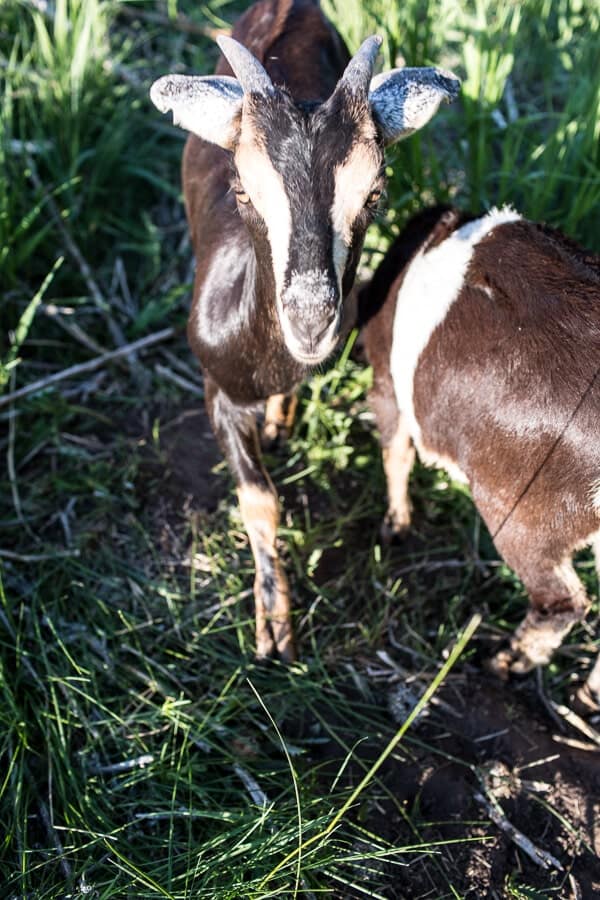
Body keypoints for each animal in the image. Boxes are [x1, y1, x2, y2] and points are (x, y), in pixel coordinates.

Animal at [150, 0, 460, 660]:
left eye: (375, 191)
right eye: (241, 188)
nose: (311, 319)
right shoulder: (217, 392)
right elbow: (260, 500)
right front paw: (273, 628)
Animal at [360, 207, 600, 708]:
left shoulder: (387, 385)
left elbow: (396, 453)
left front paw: (395, 528)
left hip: (524, 518)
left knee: (563, 600)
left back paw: (505, 663)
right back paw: (586, 700)